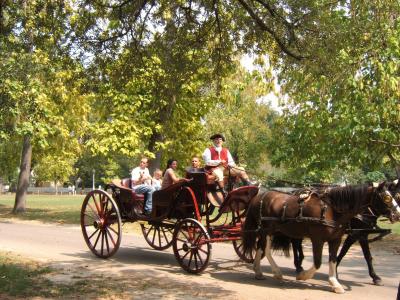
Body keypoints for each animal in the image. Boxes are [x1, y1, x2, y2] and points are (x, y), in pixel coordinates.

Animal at [242, 182, 396, 294]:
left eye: (394, 196)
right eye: (387, 198)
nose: (397, 215)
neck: (331, 210)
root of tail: (259, 196)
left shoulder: (336, 239)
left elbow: (333, 259)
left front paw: (335, 282)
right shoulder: (318, 239)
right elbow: (318, 262)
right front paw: (303, 276)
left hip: (267, 231)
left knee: (260, 247)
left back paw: (258, 271)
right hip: (267, 230)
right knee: (266, 250)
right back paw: (277, 272)